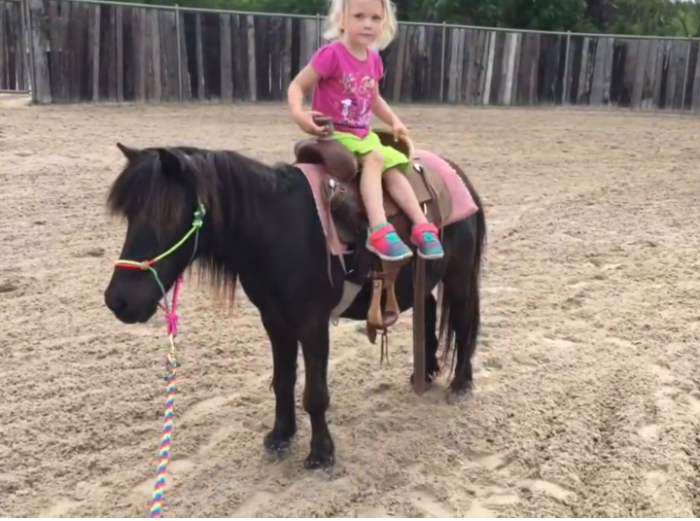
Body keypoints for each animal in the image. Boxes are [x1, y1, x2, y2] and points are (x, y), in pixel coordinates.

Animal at [105, 141, 486, 468]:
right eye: (129, 215)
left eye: (165, 215)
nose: (117, 300)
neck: (278, 228)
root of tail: (457, 175)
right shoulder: (275, 321)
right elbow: (283, 381)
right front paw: (281, 435)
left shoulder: (312, 324)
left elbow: (315, 393)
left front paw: (321, 453)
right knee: (429, 310)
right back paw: (426, 372)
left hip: (458, 277)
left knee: (463, 322)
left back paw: (460, 384)